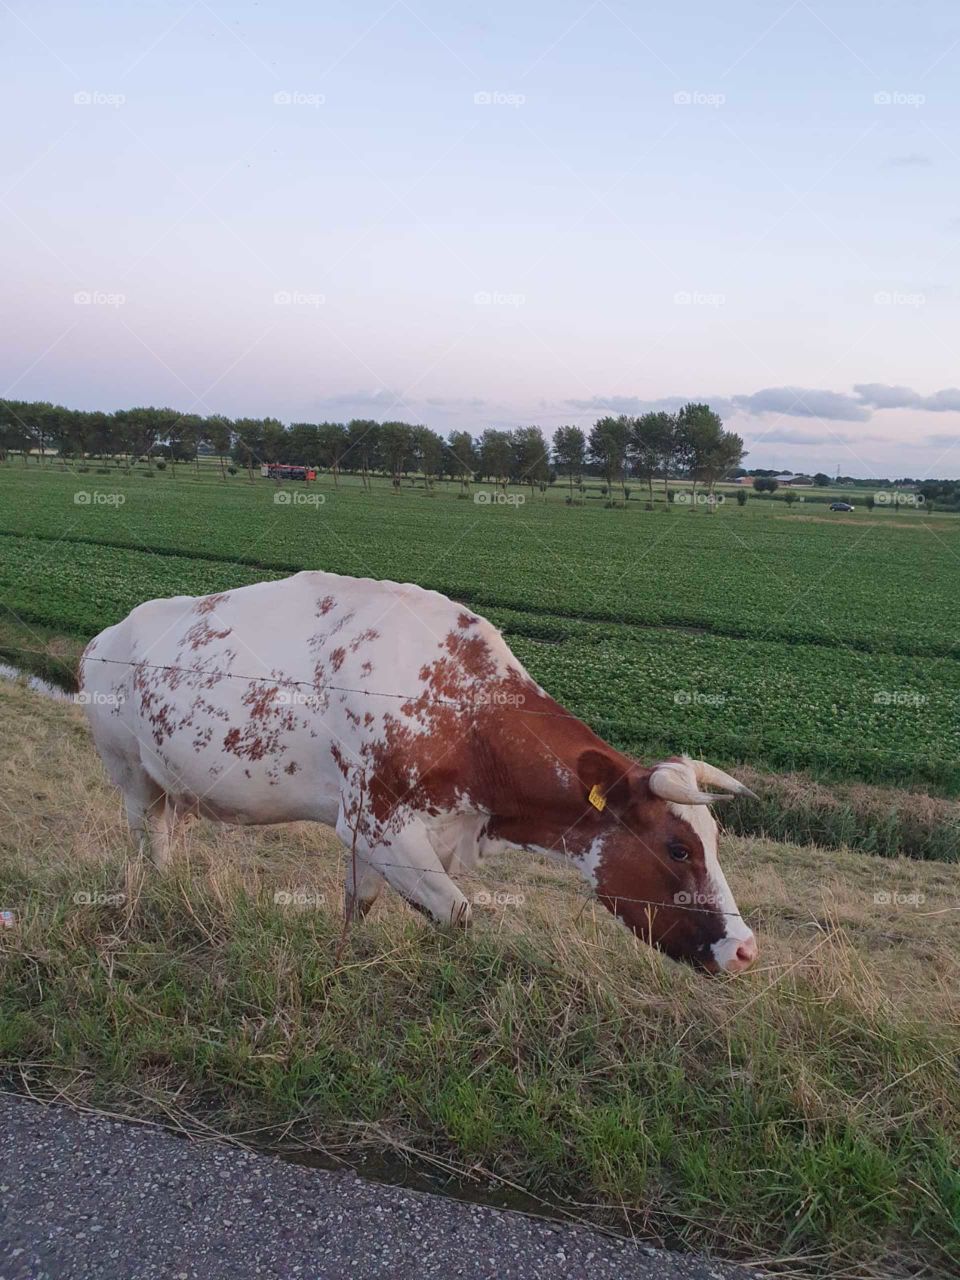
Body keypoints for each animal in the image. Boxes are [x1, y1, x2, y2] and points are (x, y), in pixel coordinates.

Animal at [79, 571, 759, 974]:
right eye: (677, 848)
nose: (746, 948)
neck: (467, 712)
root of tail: (107, 632)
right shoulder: (377, 823)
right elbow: (457, 916)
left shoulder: (383, 834)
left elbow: (358, 909)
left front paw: (343, 965)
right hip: (129, 774)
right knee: (148, 841)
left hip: (169, 784)